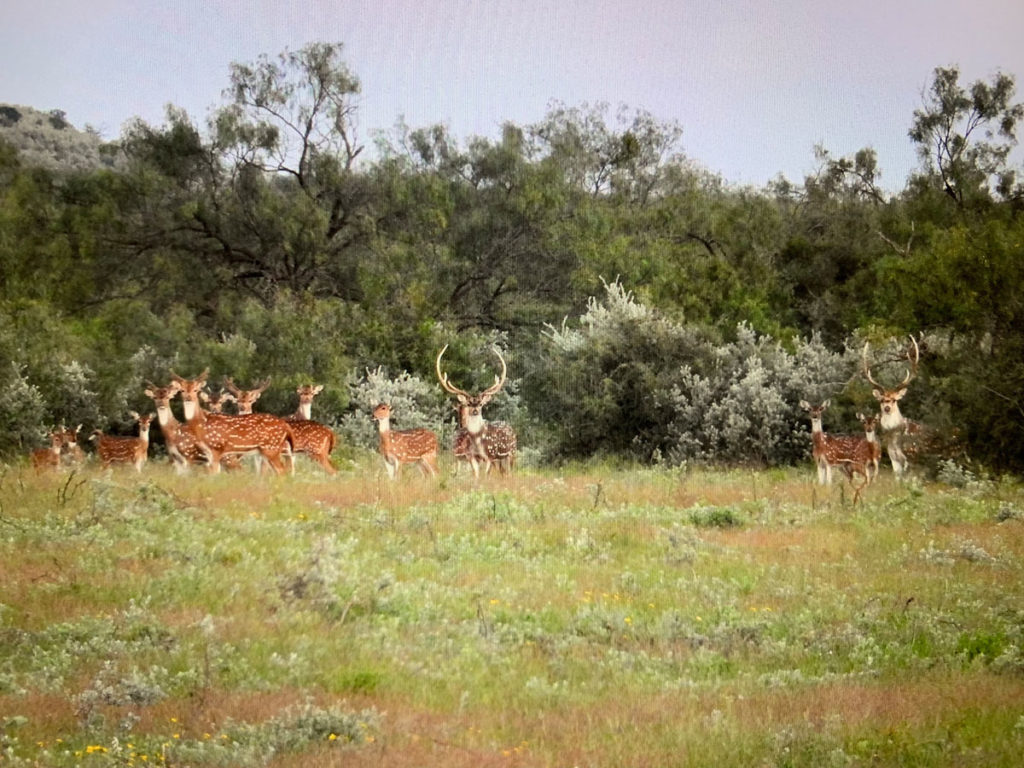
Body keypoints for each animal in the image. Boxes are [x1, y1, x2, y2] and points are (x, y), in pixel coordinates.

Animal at [434, 346, 516, 479]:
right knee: (503, 472)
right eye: (468, 404)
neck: (477, 439)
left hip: (511, 452)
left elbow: (486, 475)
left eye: (481, 404)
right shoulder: (472, 456)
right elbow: (476, 475)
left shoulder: (489, 456)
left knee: (509, 472)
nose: (475, 411)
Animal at [864, 337, 921, 481]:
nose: (887, 407)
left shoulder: (911, 457)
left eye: (894, 399)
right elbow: (897, 478)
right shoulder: (893, 457)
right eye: (881, 400)